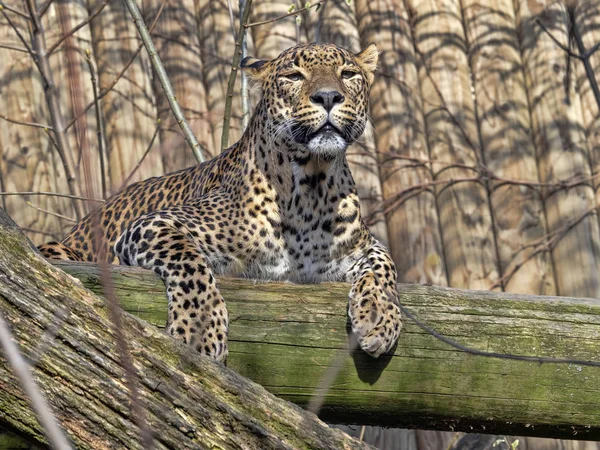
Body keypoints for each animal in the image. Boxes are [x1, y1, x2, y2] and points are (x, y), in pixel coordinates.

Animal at [38, 43, 404, 362]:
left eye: (348, 73)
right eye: (294, 75)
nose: (328, 96)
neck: (311, 185)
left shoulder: (360, 248)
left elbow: (385, 265)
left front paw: (378, 316)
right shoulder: (153, 224)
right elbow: (189, 262)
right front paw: (200, 329)